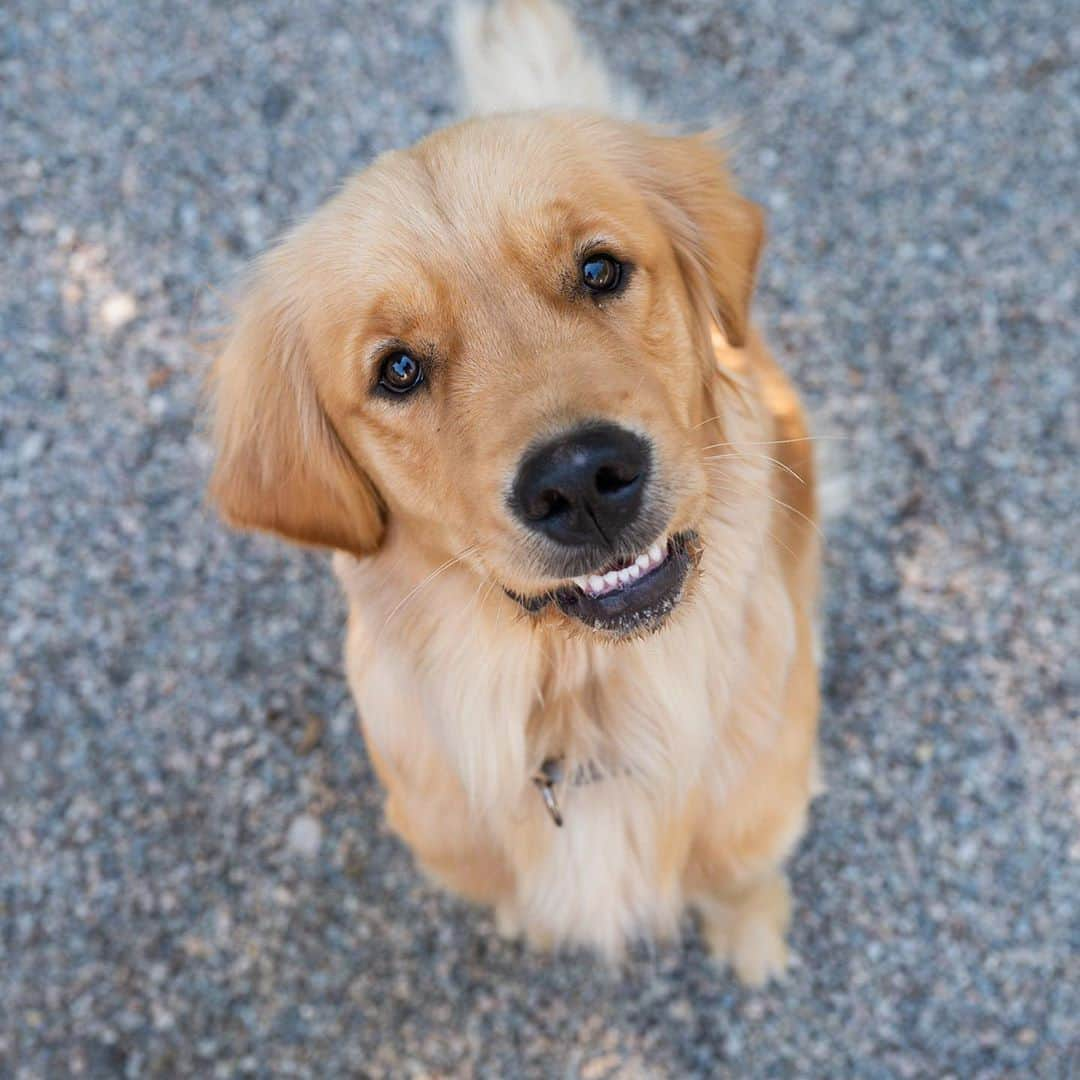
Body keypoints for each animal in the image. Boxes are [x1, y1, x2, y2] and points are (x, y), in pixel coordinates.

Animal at [208, 0, 816, 984]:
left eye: (601, 269)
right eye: (399, 369)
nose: (581, 480)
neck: (591, 714)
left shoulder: (764, 808)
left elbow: (744, 875)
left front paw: (753, 937)